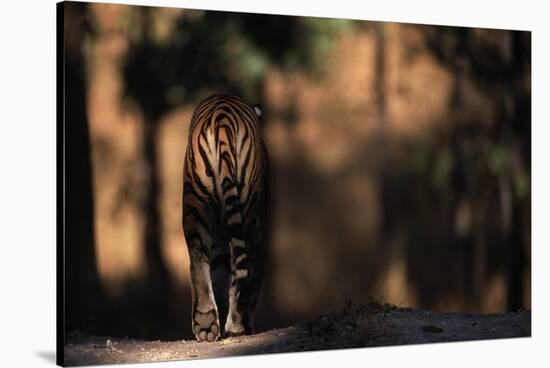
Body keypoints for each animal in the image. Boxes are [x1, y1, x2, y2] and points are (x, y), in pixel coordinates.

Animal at [183, 92, 272, 342]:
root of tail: (222, 119)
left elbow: (220, 274)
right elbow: (252, 275)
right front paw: (239, 323)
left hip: (195, 203)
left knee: (197, 256)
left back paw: (205, 324)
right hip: (249, 212)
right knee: (245, 266)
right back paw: (237, 325)